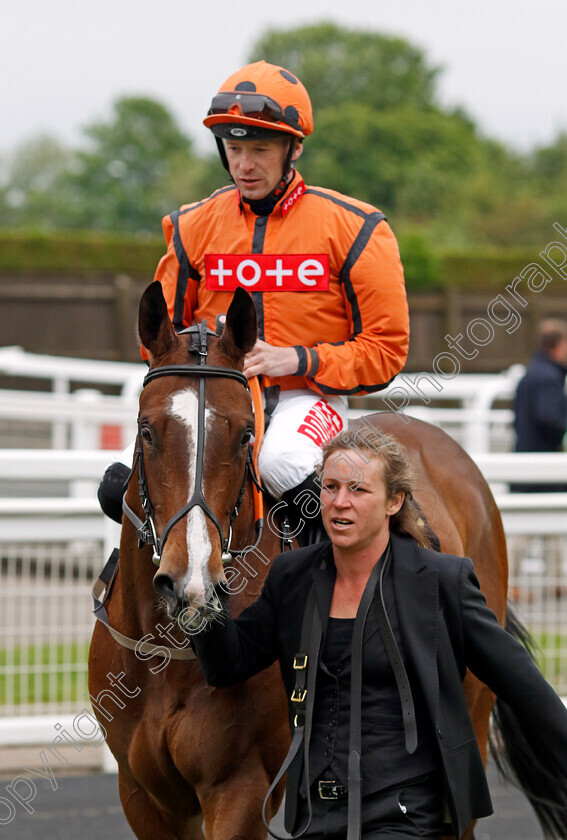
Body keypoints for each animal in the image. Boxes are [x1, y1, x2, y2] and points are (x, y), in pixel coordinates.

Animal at [91, 282, 556, 840]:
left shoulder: (240, 789)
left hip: (470, 711)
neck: (169, 658)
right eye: (146, 429)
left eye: (246, 434)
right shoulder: (142, 795)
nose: (193, 578)